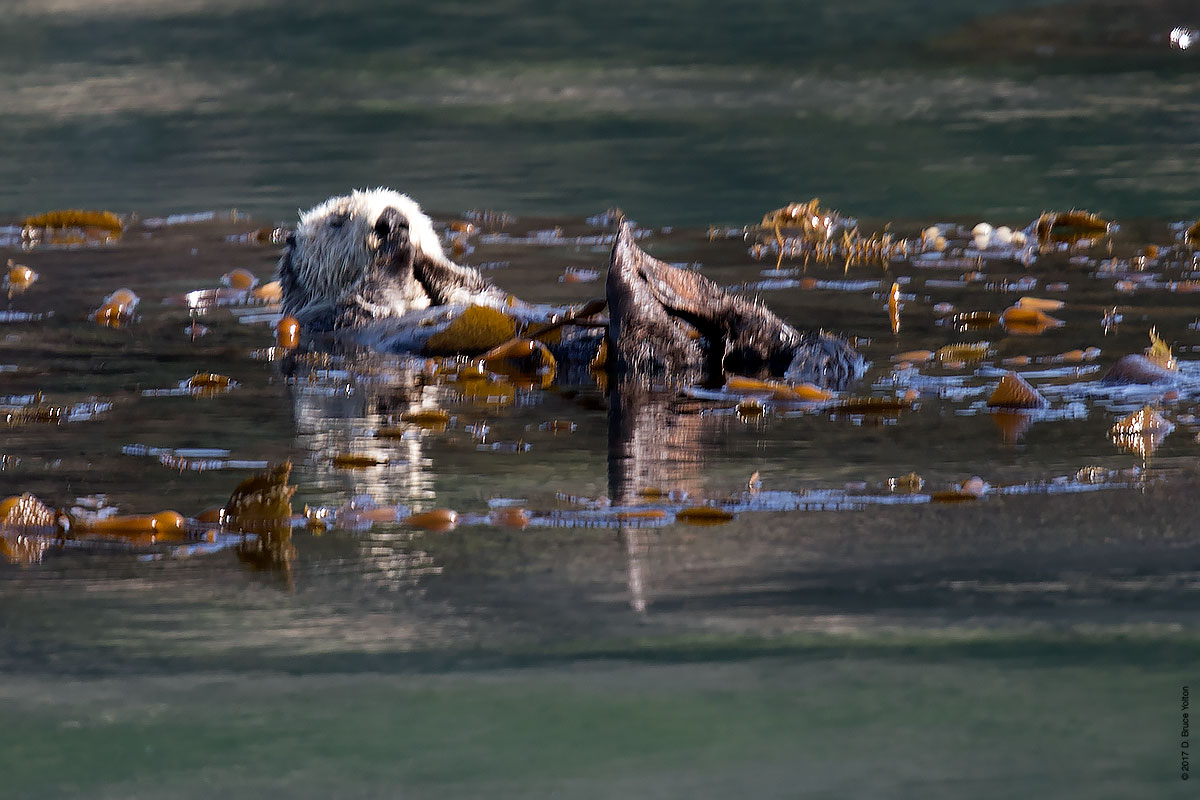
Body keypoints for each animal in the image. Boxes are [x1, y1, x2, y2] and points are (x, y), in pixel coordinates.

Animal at [278, 188, 864, 388]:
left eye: (413, 210)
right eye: (339, 220)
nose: (392, 222)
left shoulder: (475, 295)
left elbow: (476, 292)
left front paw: (429, 260)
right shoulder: (331, 319)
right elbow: (368, 299)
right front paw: (397, 262)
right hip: (647, 353)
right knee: (656, 347)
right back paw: (637, 267)